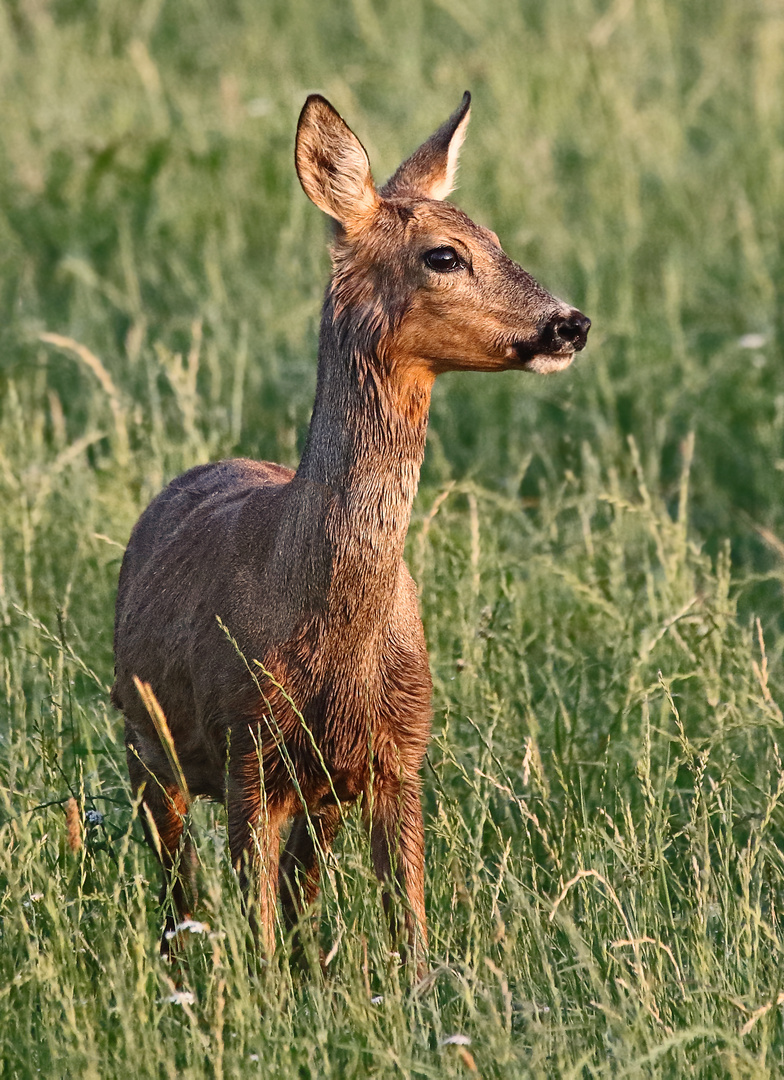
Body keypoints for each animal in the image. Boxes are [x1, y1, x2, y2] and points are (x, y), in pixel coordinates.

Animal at [110, 92, 587, 972]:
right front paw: (262, 996)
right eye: (444, 255)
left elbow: (411, 924)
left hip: (313, 788)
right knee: (179, 891)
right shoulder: (248, 748)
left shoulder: (400, 754)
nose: (570, 324)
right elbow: (256, 927)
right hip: (142, 739)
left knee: (291, 892)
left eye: (497, 239)